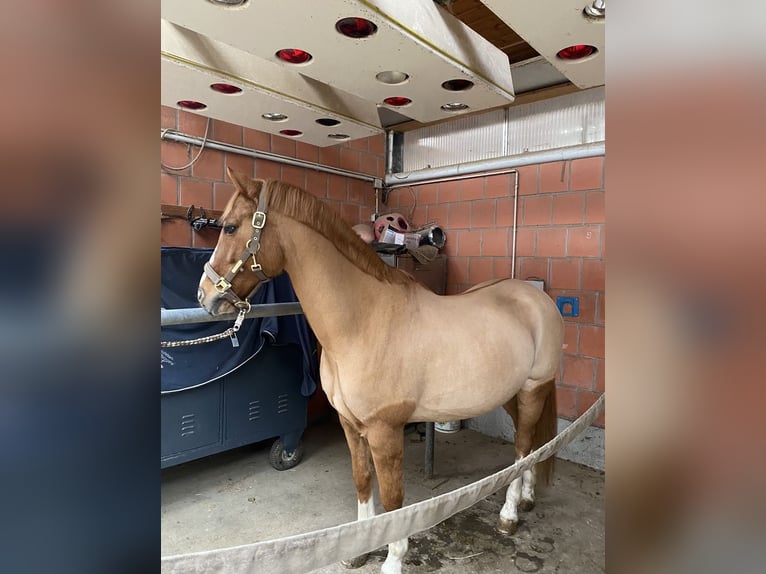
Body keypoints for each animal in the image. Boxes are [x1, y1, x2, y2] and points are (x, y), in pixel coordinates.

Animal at [200, 172, 564, 574]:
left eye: (230, 227)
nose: (205, 296)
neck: (362, 323)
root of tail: (536, 298)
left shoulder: (384, 430)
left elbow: (392, 499)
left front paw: (393, 560)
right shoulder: (350, 425)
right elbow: (362, 482)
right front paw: (359, 551)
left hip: (533, 389)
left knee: (522, 449)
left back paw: (509, 514)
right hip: (512, 394)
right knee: (530, 443)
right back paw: (527, 498)